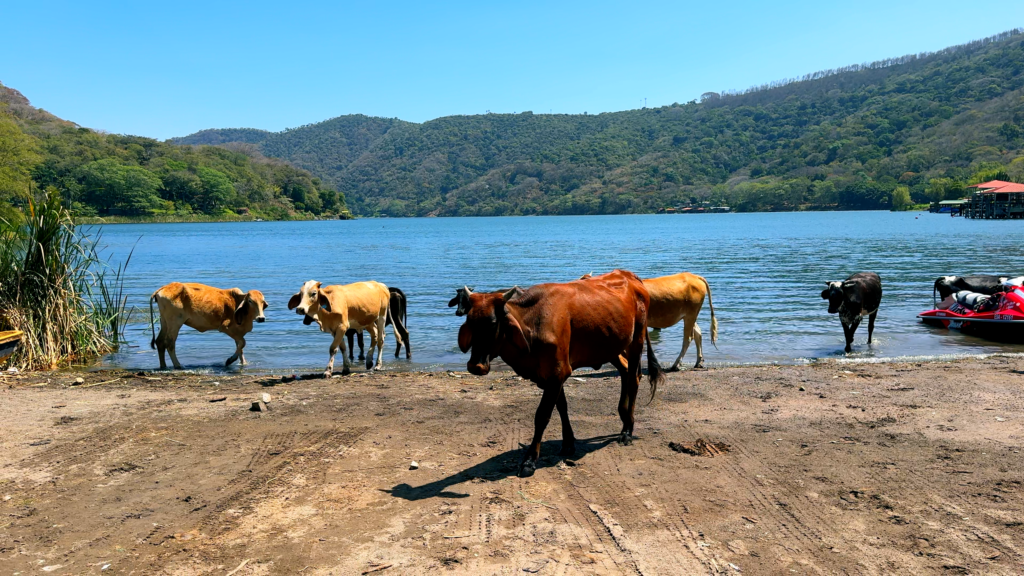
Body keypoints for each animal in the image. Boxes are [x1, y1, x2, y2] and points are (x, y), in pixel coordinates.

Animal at [454, 268, 663, 475]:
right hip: (611, 345)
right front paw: (568, 442)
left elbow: (542, 415)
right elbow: (561, 406)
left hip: (637, 338)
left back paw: (627, 430)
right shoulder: (552, 375)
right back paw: (623, 415)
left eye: (492, 323)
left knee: (634, 378)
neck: (533, 323)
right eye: (470, 322)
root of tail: (629, 275)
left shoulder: (557, 372)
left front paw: (530, 459)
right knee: (625, 370)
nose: (475, 366)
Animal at [585, 270, 720, 368]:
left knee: (688, 338)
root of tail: (694, 276)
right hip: (689, 315)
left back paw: (676, 364)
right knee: (698, 333)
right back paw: (698, 361)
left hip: (691, 314)